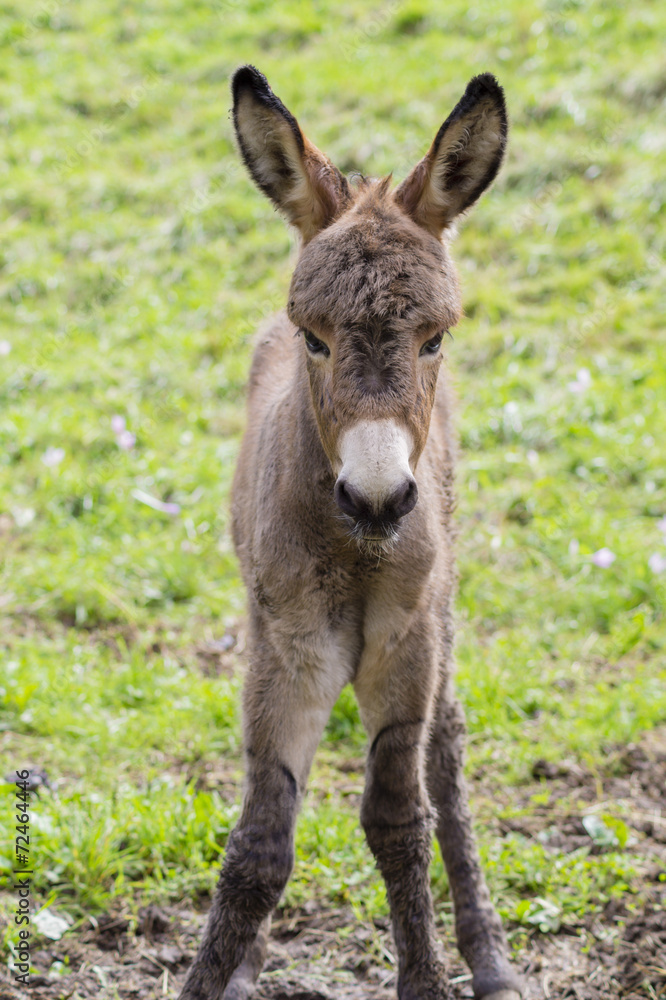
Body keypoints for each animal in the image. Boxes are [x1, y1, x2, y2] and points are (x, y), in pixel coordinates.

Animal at [179, 68, 520, 1000]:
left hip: (441, 613)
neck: (355, 552)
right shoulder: (288, 651)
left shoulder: (406, 644)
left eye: (434, 339)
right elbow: (258, 847)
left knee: (446, 748)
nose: (376, 500)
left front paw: (431, 977)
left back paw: (491, 958)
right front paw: (220, 970)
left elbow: (400, 819)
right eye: (314, 338)